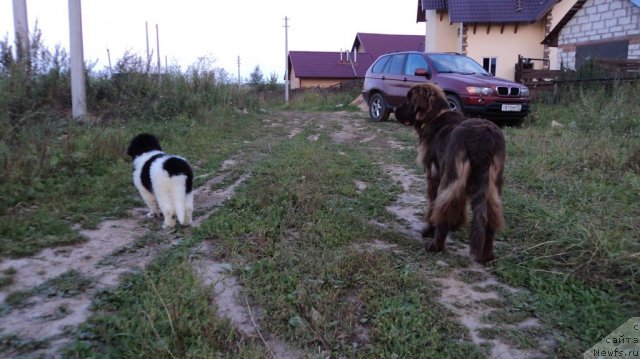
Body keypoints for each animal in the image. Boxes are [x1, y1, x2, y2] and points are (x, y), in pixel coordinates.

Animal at [396, 84, 504, 264]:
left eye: (408, 98)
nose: (394, 109)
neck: (435, 116)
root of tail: (483, 136)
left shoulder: (434, 176)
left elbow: (433, 205)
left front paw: (429, 229)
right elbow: (459, 204)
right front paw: (456, 224)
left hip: (452, 175)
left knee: (444, 208)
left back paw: (435, 245)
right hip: (492, 184)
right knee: (490, 216)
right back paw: (486, 255)